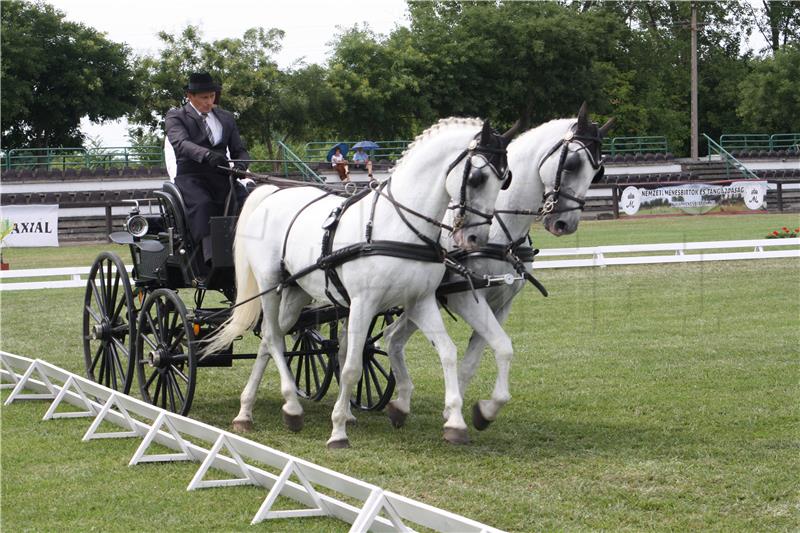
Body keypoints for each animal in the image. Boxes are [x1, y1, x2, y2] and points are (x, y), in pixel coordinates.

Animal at [203, 118, 510, 446]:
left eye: (505, 180)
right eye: (477, 178)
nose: (475, 239)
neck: (397, 225)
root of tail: (272, 193)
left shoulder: (420, 300)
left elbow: (447, 352)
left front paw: (455, 422)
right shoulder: (364, 303)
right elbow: (351, 366)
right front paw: (338, 430)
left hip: (296, 292)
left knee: (269, 342)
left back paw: (248, 411)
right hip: (269, 285)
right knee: (273, 338)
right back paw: (291, 407)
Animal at [382, 103, 612, 432]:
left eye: (598, 171)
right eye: (572, 163)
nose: (564, 223)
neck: (498, 232)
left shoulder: (501, 303)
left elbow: (475, 360)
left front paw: (465, 411)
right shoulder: (466, 298)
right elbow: (502, 347)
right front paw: (478, 411)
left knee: (392, 338)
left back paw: (400, 404)